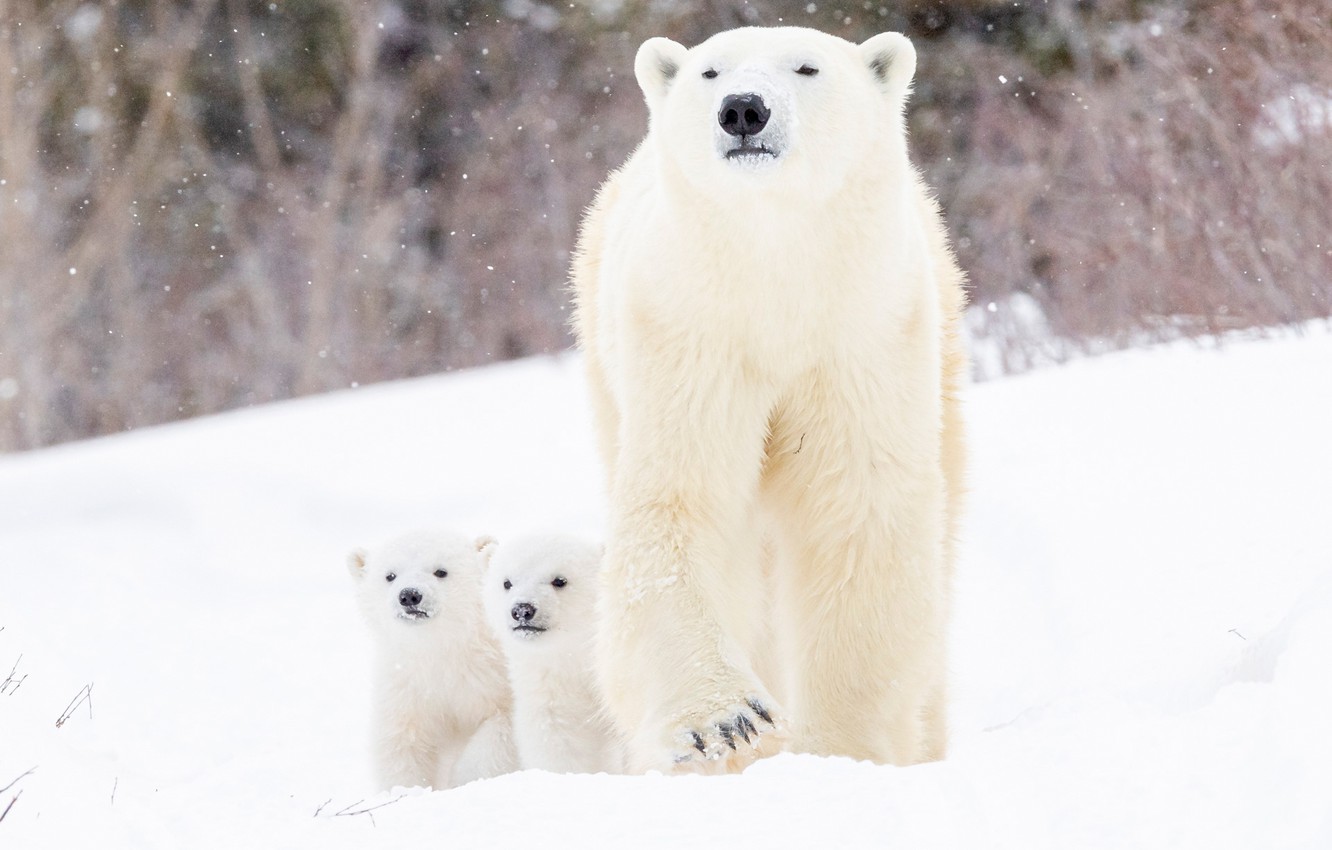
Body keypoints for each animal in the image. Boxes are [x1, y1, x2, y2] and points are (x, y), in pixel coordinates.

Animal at [347, 530, 519, 789]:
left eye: (441, 571)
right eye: (390, 575)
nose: (409, 595)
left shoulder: (497, 675)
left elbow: (504, 727)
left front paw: (464, 778)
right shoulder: (408, 685)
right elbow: (403, 741)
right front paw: (408, 790)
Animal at [570, 26, 967, 774]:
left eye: (807, 67)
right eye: (710, 71)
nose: (744, 109)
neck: (773, 261)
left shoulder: (860, 334)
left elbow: (857, 510)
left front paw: (841, 746)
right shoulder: (688, 332)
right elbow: (678, 503)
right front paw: (728, 723)